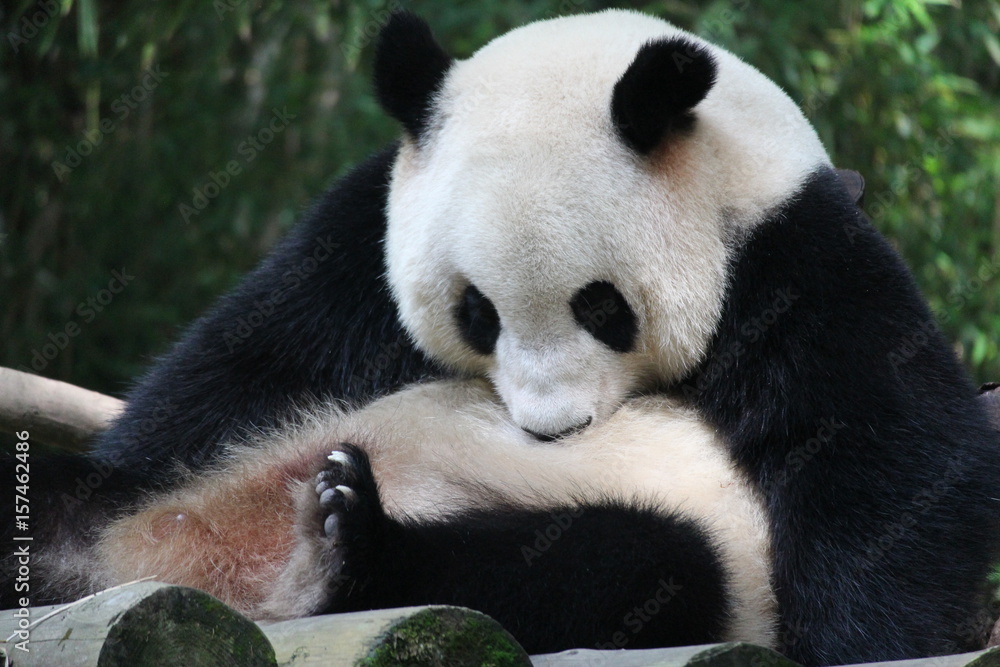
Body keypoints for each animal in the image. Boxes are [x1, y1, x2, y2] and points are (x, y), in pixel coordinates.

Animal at [1, 9, 1000, 667]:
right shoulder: (356, 240)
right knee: (76, 503)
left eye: (604, 307)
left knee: (626, 562)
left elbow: (884, 445)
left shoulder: (786, 247)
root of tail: (191, 562)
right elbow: (238, 371)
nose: (552, 431)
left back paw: (352, 549)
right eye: (474, 311)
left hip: (691, 563)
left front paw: (872, 636)